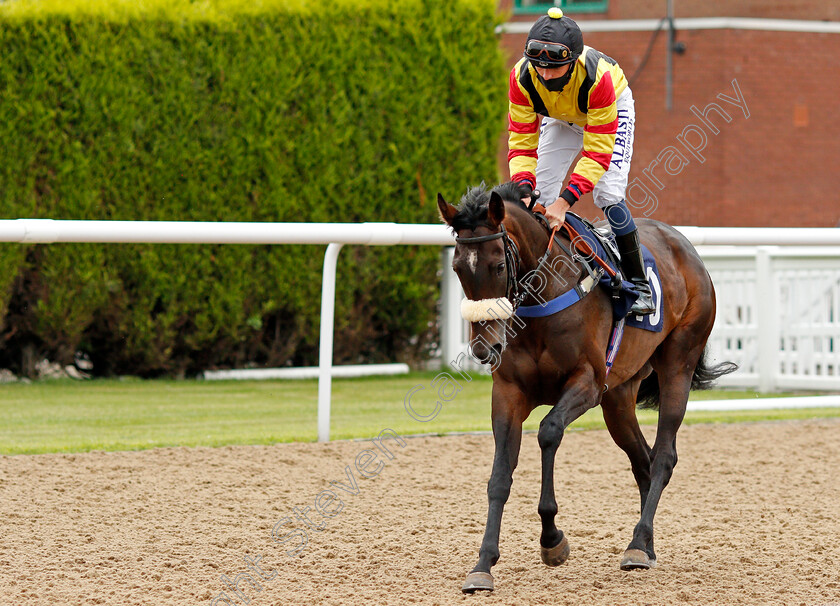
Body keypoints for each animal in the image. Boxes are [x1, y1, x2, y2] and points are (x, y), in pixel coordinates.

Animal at [440, 184, 736, 592]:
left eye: (498, 265)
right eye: (457, 268)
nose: (485, 349)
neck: (543, 297)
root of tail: (684, 246)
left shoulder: (588, 383)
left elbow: (549, 431)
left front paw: (552, 540)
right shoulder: (509, 393)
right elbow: (499, 475)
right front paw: (483, 563)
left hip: (678, 363)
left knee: (663, 456)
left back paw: (637, 545)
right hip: (619, 398)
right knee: (642, 461)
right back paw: (645, 545)